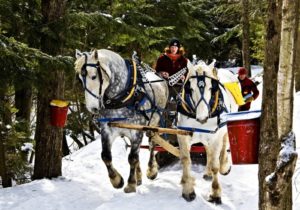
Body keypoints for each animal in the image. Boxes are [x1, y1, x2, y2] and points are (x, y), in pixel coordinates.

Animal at [75, 49, 169, 194]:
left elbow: (132, 158)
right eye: (80, 80)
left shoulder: (137, 132)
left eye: (94, 76)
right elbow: (106, 156)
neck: (122, 98)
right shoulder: (107, 129)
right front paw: (117, 180)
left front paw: (130, 184)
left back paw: (151, 170)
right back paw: (139, 176)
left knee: (151, 144)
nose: (92, 108)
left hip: (153, 123)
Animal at [177, 60, 238, 203]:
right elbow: (185, 160)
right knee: (208, 150)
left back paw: (223, 166)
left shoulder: (216, 136)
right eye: (190, 88)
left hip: (223, 130)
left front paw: (215, 193)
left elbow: (216, 165)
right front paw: (188, 190)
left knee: (224, 146)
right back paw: (208, 172)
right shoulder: (183, 135)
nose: (202, 118)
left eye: (211, 88)